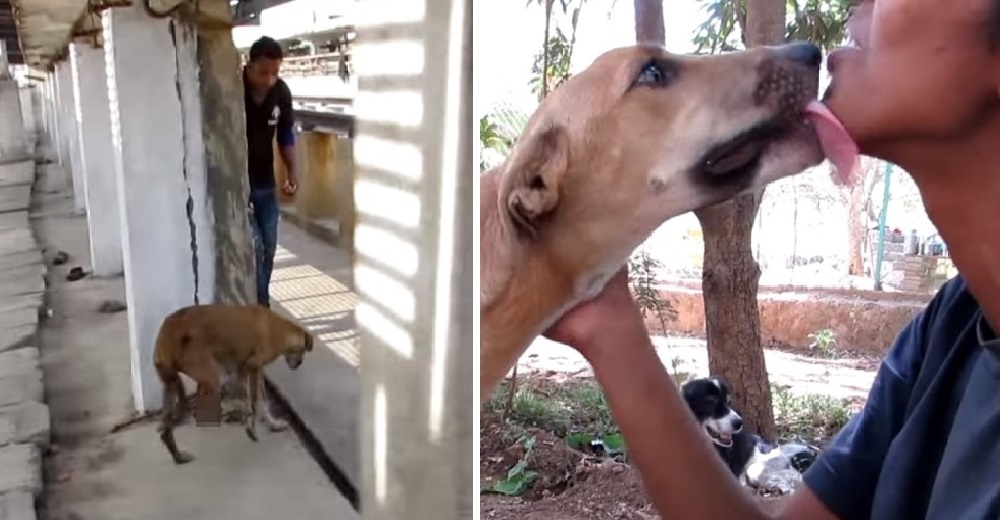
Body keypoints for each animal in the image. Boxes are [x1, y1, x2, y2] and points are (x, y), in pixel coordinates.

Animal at [152, 302, 312, 466]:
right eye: (302, 351)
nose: (298, 364)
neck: (281, 329)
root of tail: (169, 329)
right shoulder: (253, 366)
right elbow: (255, 402)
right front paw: (252, 429)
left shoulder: (246, 371)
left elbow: (259, 400)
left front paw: (272, 424)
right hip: (212, 377)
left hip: (172, 382)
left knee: (166, 430)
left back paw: (178, 456)